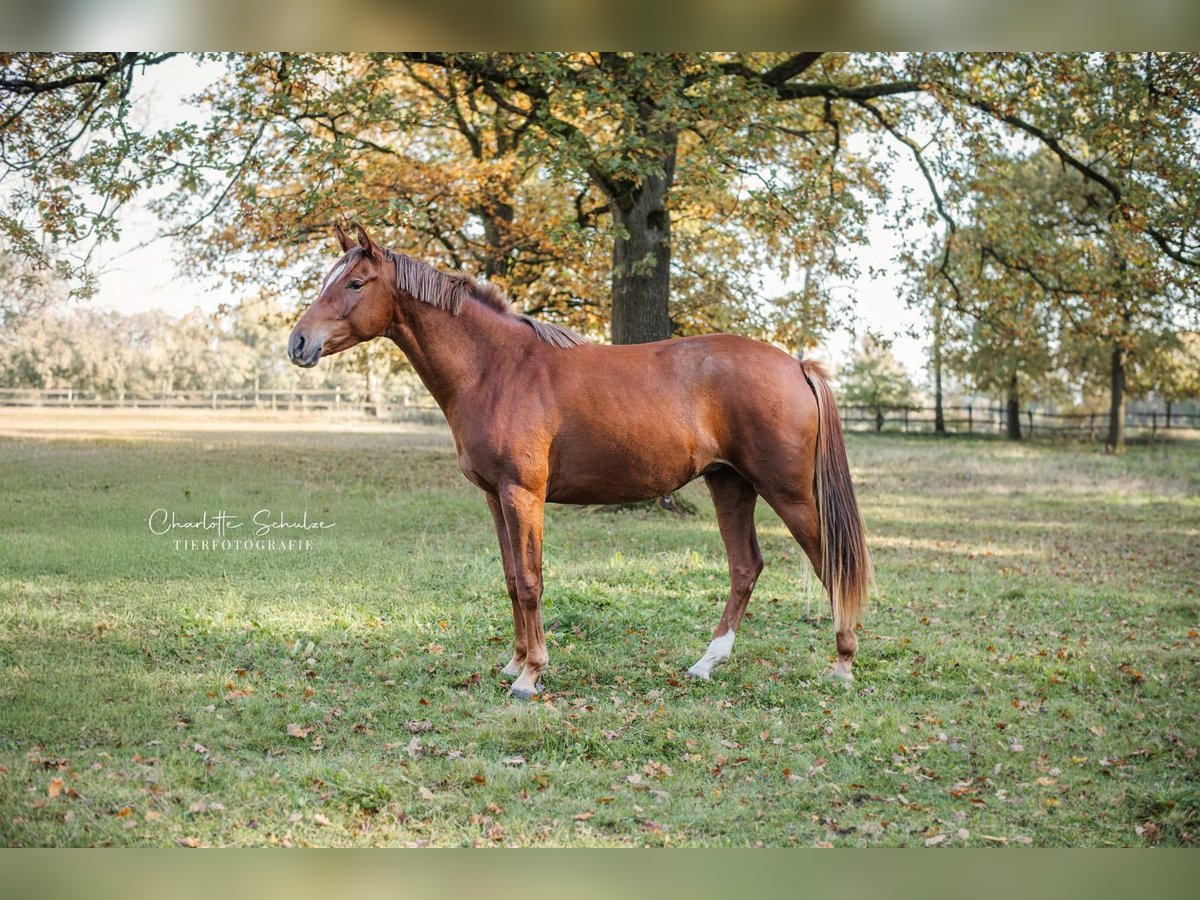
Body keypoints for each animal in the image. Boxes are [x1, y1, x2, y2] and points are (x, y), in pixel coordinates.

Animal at [290, 224, 873, 696]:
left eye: (355, 283)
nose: (298, 342)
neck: (496, 368)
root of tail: (796, 365)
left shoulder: (523, 494)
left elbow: (530, 580)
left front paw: (531, 675)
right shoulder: (495, 498)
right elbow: (511, 578)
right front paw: (513, 662)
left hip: (787, 492)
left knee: (829, 562)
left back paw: (842, 665)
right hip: (729, 484)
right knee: (745, 567)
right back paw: (707, 663)